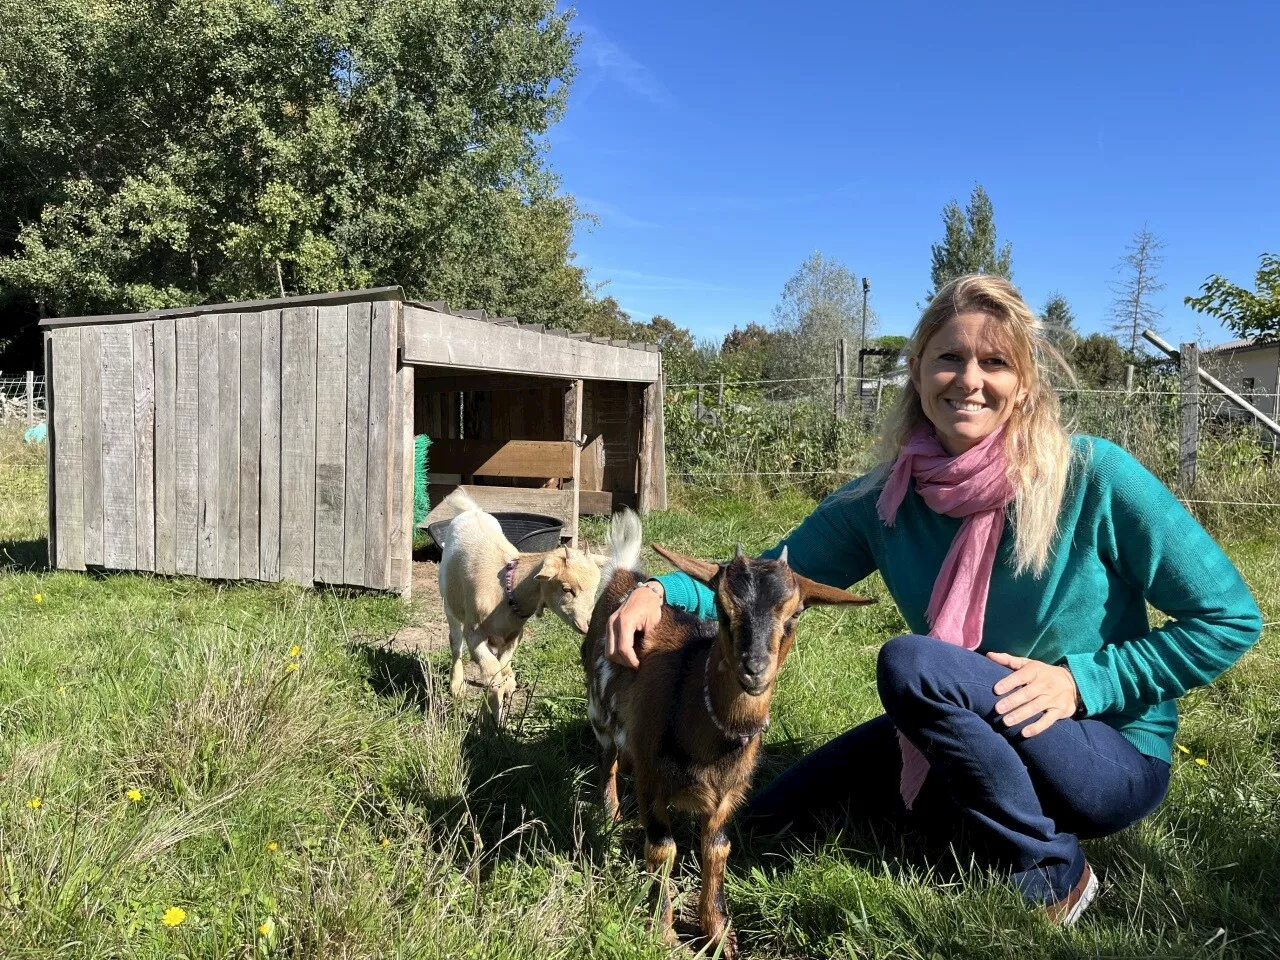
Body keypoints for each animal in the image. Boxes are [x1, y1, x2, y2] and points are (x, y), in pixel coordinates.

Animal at [583, 522, 870, 957]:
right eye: (720, 607)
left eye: (795, 613)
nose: (755, 670)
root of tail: (623, 575)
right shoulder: (652, 780)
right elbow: (662, 849)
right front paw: (664, 933)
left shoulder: (728, 795)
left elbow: (717, 849)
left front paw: (718, 933)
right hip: (602, 713)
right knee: (608, 760)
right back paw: (611, 813)